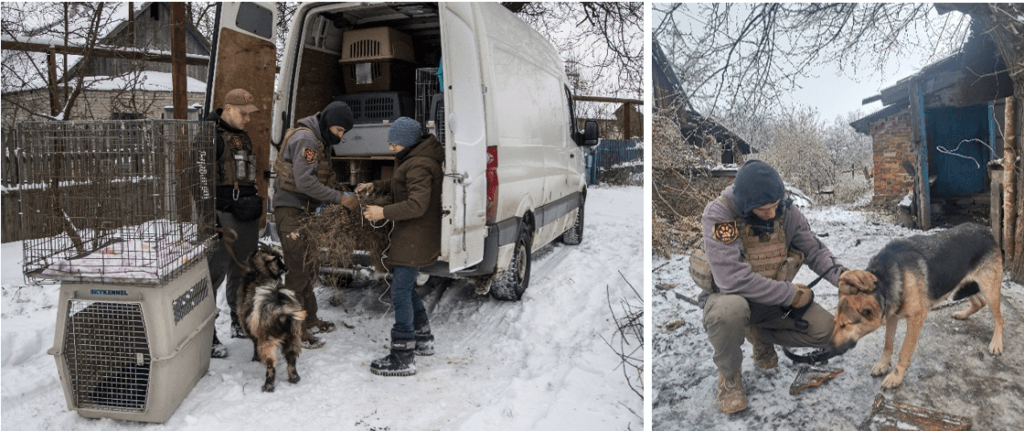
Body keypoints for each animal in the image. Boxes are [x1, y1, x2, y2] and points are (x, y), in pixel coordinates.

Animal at [827, 223, 1003, 386]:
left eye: (845, 325)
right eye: (835, 322)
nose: (826, 349)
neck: (884, 280)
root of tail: (986, 230)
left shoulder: (916, 318)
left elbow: (904, 351)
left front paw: (896, 376)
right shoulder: (892, 316)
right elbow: (888, 344)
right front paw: (883, 365)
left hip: (988, 289)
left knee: (999, 318)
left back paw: (996, 344)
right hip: (961, 284)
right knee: (979, 302)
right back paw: (962, 314)